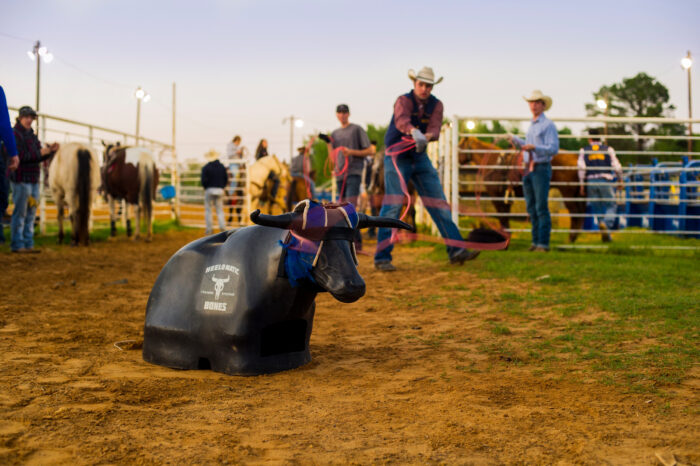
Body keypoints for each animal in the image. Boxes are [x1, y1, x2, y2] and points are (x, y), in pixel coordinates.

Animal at [460, 136, 592, 242]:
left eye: (459, 147)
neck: (493, 163)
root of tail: (577, 158)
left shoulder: (496, 196)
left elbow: (502, 215)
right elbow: (505, 215)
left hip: (568, 193)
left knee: (575, 213)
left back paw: (570, 239)